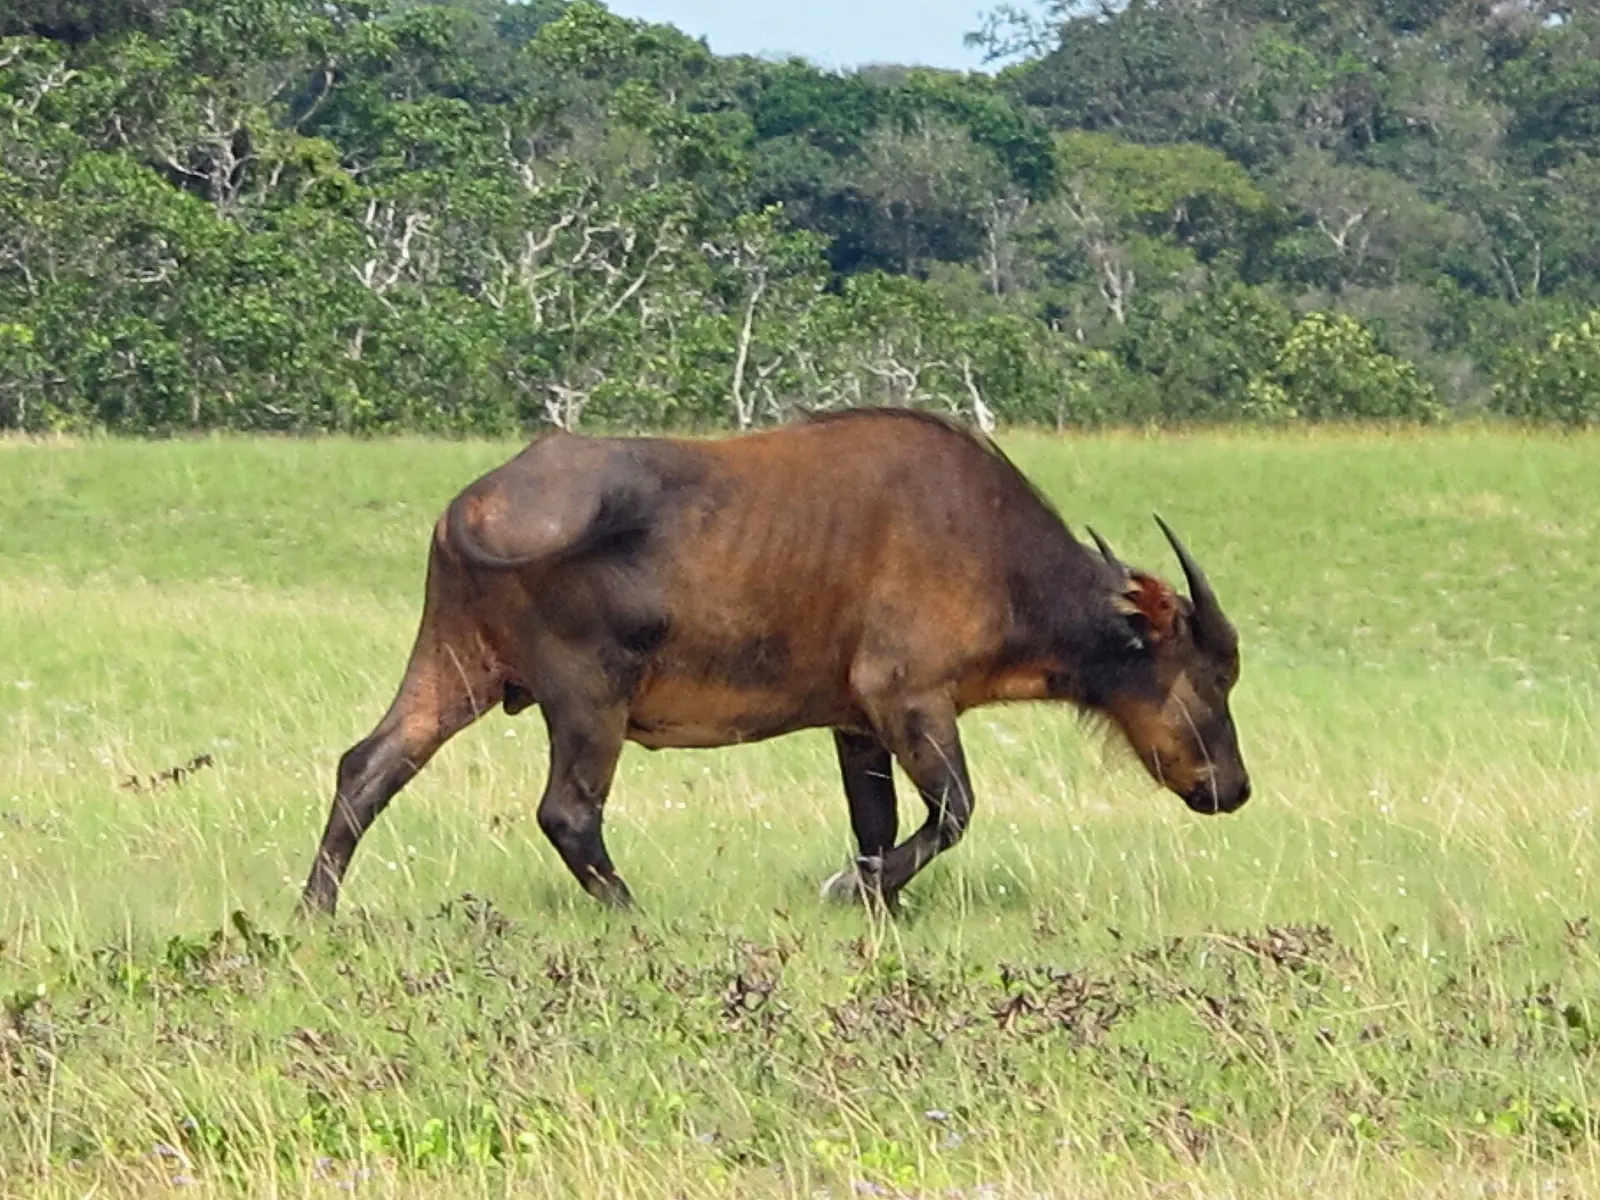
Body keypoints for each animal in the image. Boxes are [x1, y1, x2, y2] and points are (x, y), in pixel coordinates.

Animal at [299, 407, 1249, 917]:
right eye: (1211, 673)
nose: (1231, 788)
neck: (994, 549)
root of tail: (476, 504)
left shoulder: (857, 725)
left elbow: (877, 826)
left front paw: (877, 901)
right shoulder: (910, 698)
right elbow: (952, 812)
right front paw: (848, 891)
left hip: (455, 665)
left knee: (367, 767)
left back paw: (317, 908)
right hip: (588, 700)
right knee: (567, 813)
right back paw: (635, 912)